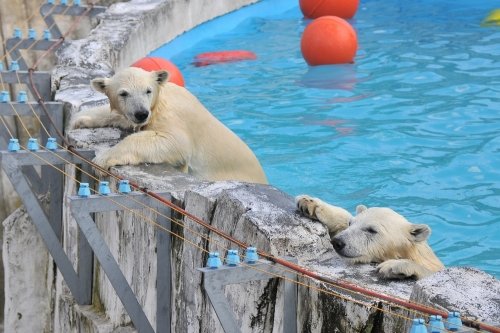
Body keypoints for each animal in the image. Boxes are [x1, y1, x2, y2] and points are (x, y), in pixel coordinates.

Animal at [69, 66, 270, 183]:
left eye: (148, 90)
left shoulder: (173, 119)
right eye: (123, 93)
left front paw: (102, 160)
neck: (159, 102)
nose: (141, 113)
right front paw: (79, 119)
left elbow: (173, 142)